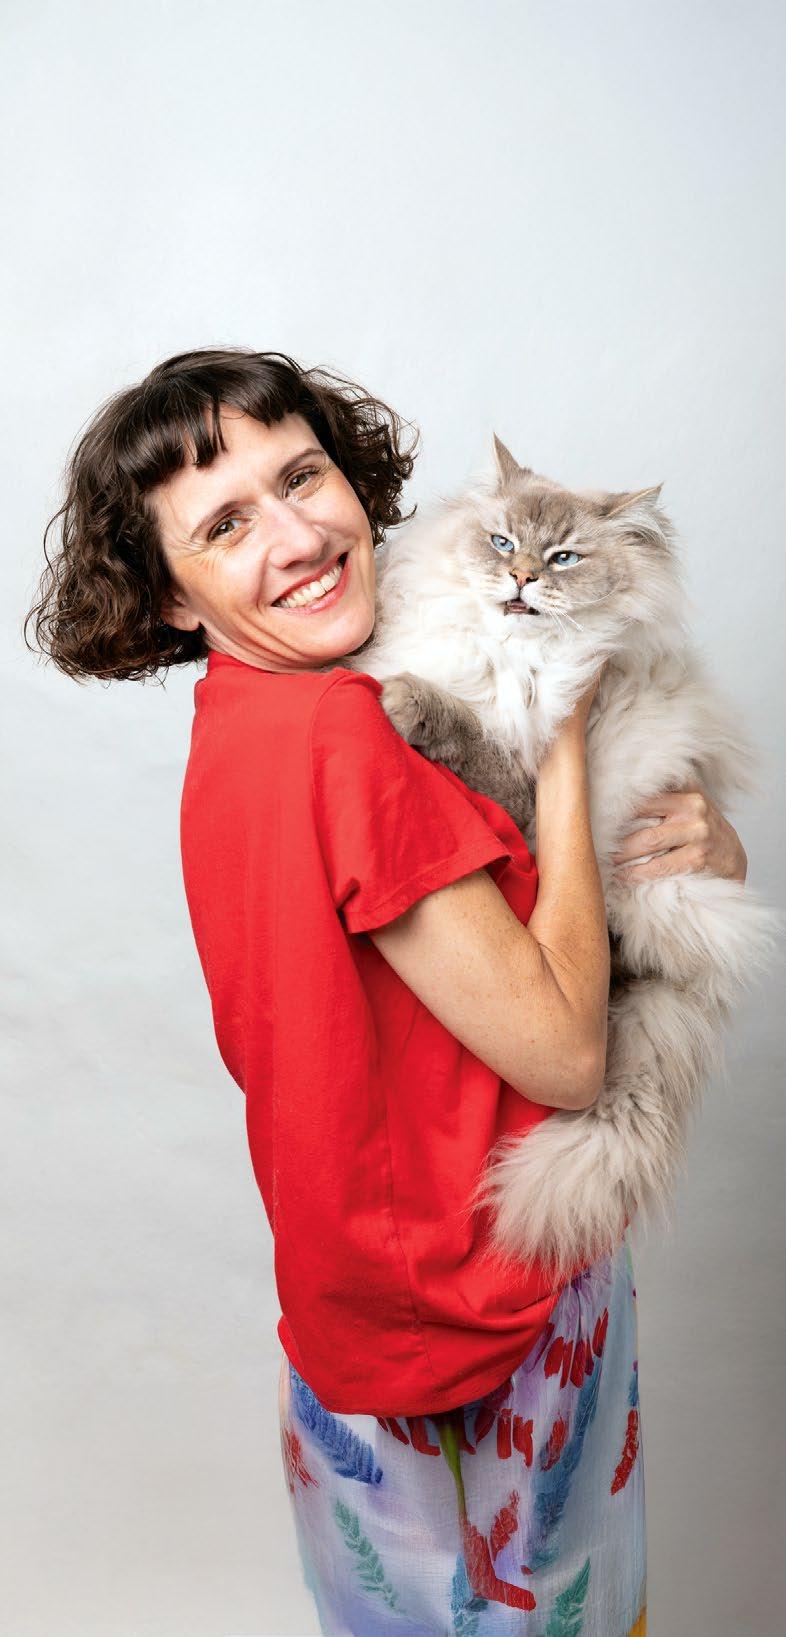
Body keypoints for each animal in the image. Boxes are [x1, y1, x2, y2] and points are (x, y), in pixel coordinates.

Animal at [345, 435, 780, 1283]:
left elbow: (465, 732)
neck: (508, 658)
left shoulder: (528, 794)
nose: (521, 579)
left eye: (564, 557)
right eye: (501, 542)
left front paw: (403, 699)